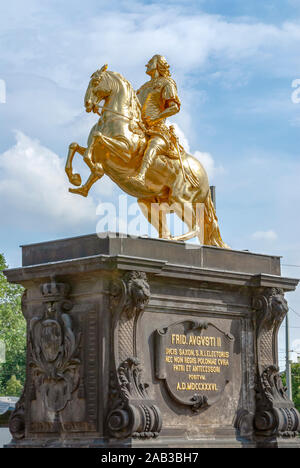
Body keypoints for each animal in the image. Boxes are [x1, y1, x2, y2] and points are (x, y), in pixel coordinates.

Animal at [63, 66, 227, 249]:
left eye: (96, 81)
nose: (87, 104)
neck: (117, 119)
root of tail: (204, 175)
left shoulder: (125, 152)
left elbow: (96, 141)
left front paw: (93, 170)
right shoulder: (101, 153)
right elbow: (75, 146)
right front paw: (77, 181)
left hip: (180, 199)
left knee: (196, 227)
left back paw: (175, 240)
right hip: (149, 203)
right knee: (172, 228)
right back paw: (164, 239)